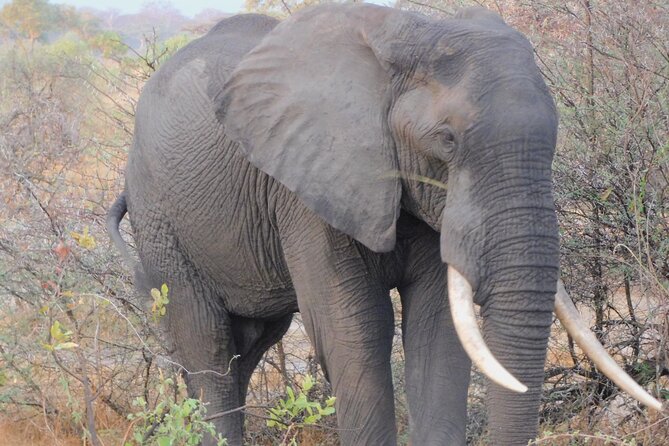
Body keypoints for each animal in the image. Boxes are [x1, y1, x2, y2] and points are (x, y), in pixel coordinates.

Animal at [107, 4, 662, 445]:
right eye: (447, 141)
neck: (412, 34)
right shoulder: (308, 185)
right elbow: (355, 329)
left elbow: (438, 328)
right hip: (160, 217)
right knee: (210, 349)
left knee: (248, 346)